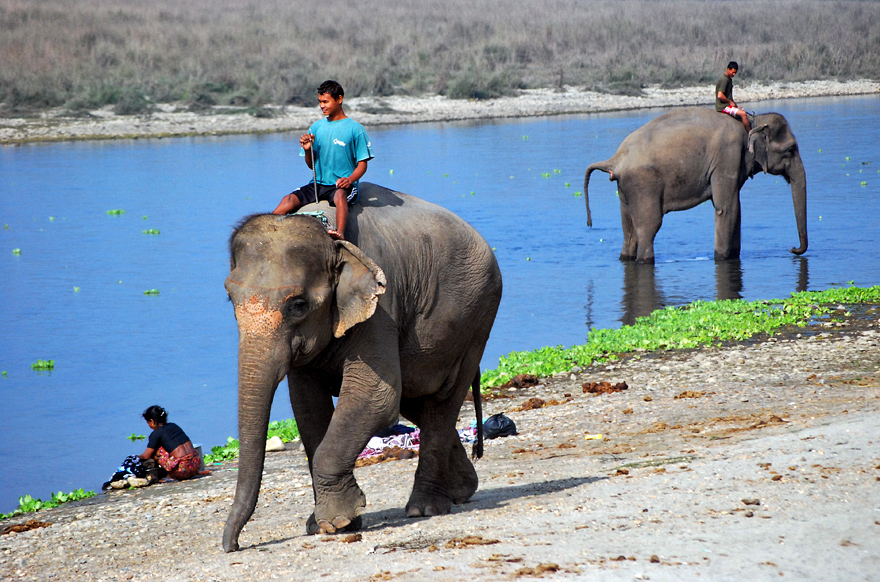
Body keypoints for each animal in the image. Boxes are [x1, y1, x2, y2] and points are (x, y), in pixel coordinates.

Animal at [222, 185, 502, 556]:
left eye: (299, 305)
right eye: (230, 298)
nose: (232, 545)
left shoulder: (381, 307)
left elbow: (376, 396)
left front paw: (336, 522)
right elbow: (307, 407)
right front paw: (323, 524)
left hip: (477, 318)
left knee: (443, 400)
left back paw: (425, 508)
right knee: (418, 401)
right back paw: (462, 490)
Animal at [580, 108, 808, 264]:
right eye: (790, 149)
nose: (792, 249)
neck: (753, 121)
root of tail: (615, 160)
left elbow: (736, 209)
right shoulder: (728, 156)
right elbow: (727, 208)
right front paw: (722, 258)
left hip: (626, 189)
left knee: (628, 230)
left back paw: (626, 258)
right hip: (643, 185)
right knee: (649, 227)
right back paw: (646, 260)